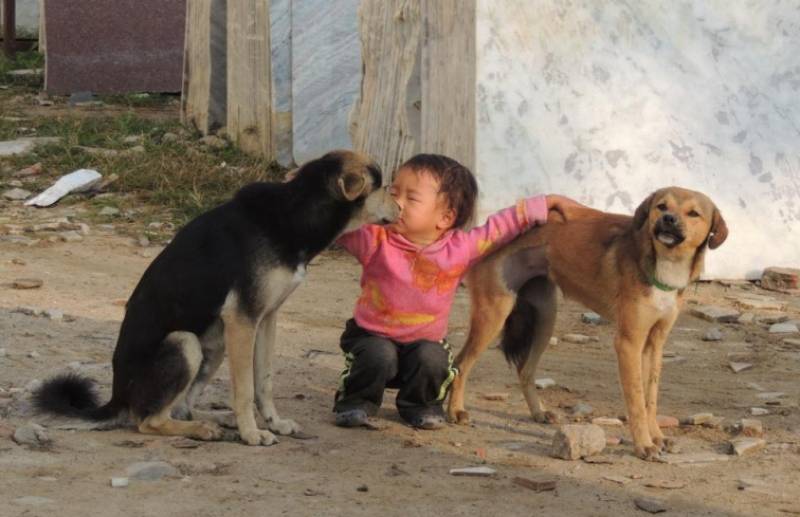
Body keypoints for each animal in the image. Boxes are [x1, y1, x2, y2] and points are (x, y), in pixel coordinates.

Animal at [34, 149, 396, 444]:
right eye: (382, 186)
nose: (402, 206)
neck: (295, 211)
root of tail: (117, 397)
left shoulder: (266, 318)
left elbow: (263, 380)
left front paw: (273, 423)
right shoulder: (242, 320)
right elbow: (245, 389)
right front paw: (252, 433)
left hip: (215, 344)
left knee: (182, 408)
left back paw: (216, 420)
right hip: (186, 342)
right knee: (150, 421)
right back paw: (202, 429)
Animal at [446, 186, 728, 460]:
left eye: (693, 213)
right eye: (661, 206)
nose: (668, 219)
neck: (666, 264)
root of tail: (486, 227)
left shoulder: (654, 344)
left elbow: (651, 398)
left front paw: (657, 436)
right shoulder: (629, 342)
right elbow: (636, 401)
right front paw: (644, 445)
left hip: (546, 318)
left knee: (524, 370)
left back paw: (539, 412)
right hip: (493, 314)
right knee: (461, 363)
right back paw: (455, 411)